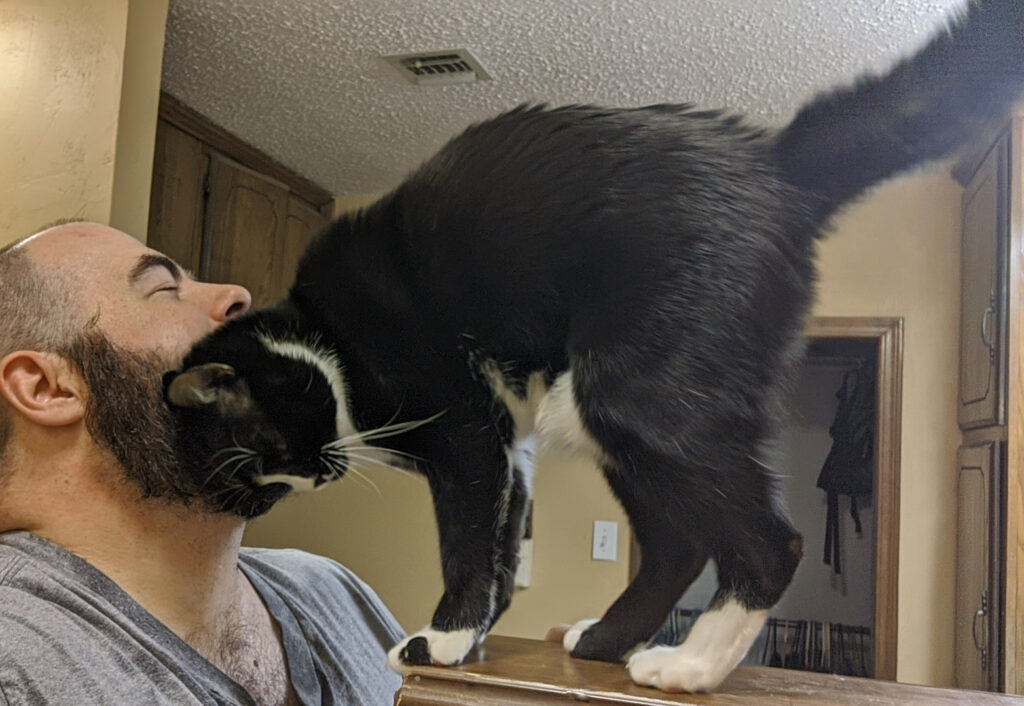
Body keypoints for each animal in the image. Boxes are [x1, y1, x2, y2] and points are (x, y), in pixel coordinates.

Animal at [163, 0, 1019, 692]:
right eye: (267, 476)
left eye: (271, 445)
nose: (315, 475)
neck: (325, 335)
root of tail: (772, 162)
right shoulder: (508, 446)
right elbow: (503, 548)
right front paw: (472, 640)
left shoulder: (464, 429)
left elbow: (465, 543)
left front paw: (441, 641)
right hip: (611, 412)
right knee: (676, 544)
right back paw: (607, 641)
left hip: (632, 393)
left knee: (770, 540)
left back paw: (690, 665)